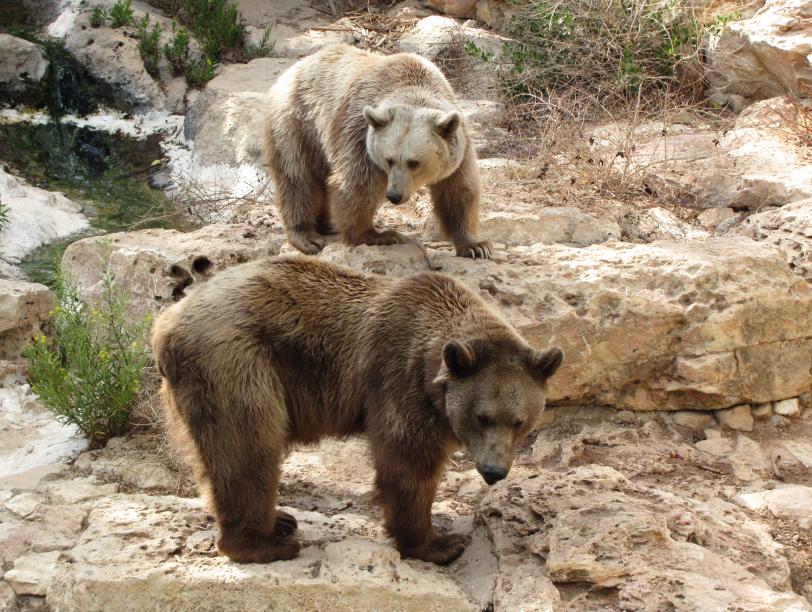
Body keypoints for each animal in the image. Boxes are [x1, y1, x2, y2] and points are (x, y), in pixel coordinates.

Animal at [151, 257, 562, 565]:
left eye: (520, 422)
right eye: (482, 417)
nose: (494, 471)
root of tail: (165, 324)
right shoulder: (400, 382)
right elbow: (407, 465)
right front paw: (440, 543)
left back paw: (277, 521)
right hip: (236, 362)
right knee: (247, 449)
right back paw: (265, 543)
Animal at [263, 44, 492, 259]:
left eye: (414, 162)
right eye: (389, 159)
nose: (394, 195)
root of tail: (294, 68)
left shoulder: (458, 145)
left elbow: (459, 190)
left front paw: (476, 246)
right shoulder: (359, 134)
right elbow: (357, 184)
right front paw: (377, 234)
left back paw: (326, 224)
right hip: (297, 124)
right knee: (297, 178)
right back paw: (307, 236)